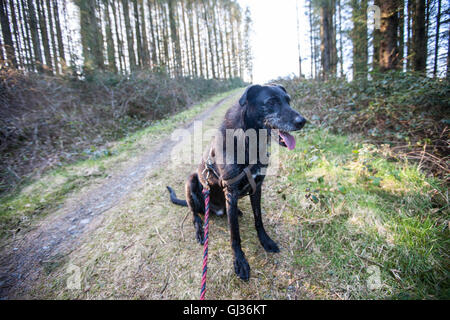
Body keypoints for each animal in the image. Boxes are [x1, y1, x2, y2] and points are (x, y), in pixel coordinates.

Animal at [167, 84, 308, 280]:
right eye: (271, 102)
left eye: (288, 101)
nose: (302, 121)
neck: (250, 142)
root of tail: (214, 210)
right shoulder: (231, 193)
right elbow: (235, 234)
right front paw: (240, 261)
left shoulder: (257, 187)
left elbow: (259, 219)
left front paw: (266, 241)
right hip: (192, 181)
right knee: (194, 215)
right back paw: (200, 230)